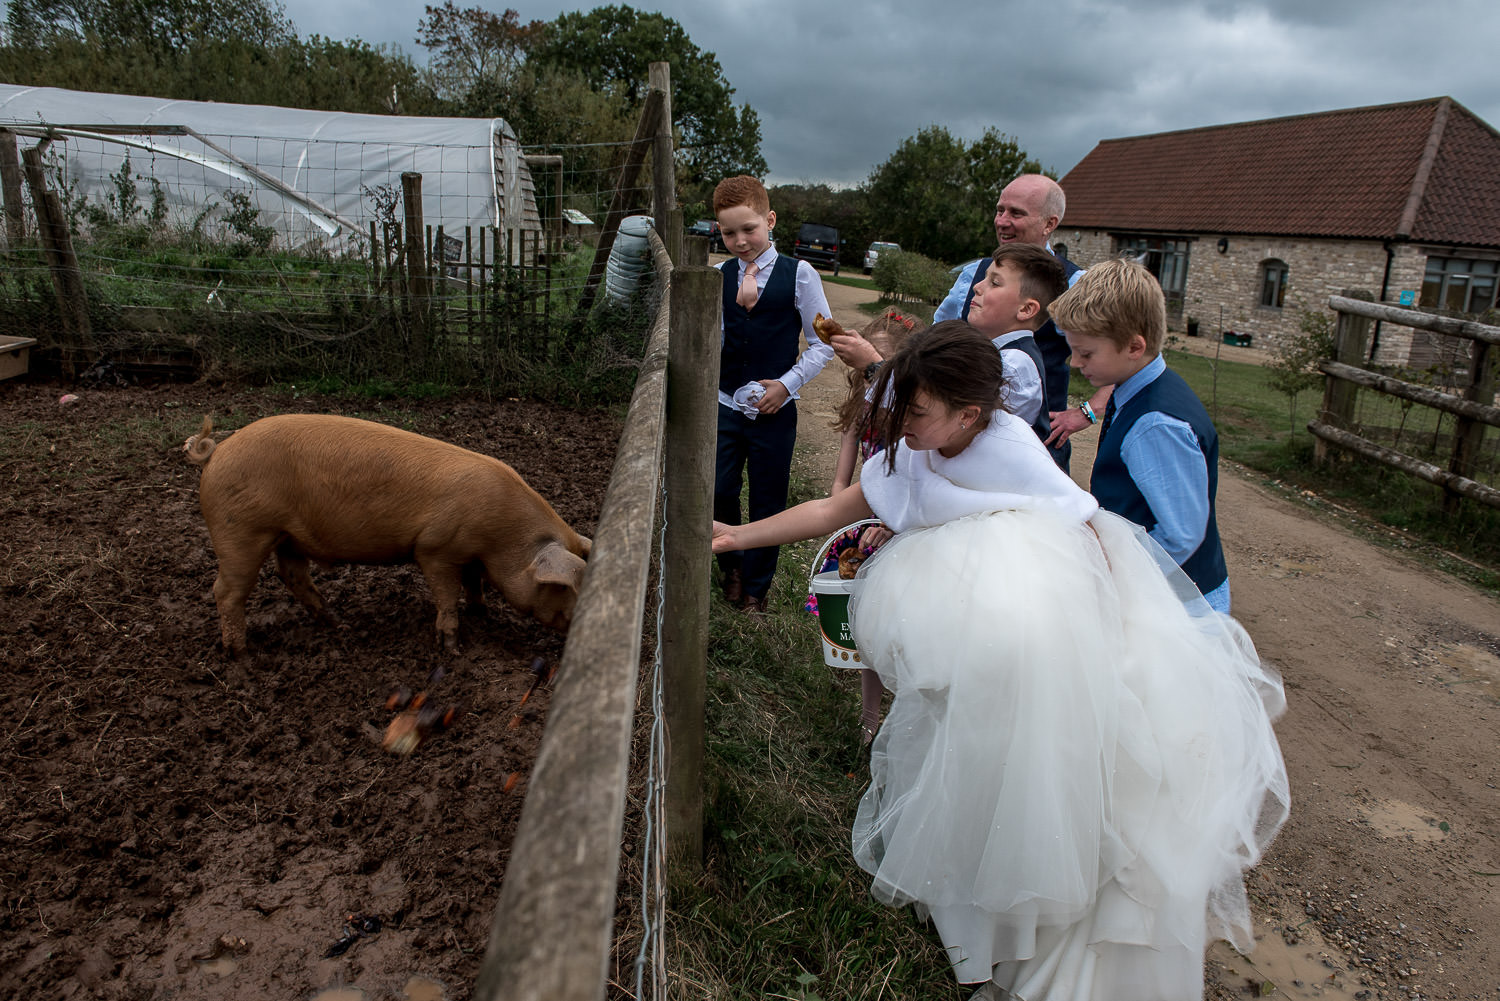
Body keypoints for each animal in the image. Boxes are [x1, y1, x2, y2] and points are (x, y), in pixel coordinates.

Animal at [183, 414, 591, 657]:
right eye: (564, 588)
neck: (502, 539)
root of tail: (216, 453)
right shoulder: (435, 550)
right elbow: (447, 595)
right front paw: (452, 648)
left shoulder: (471, 556)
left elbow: (474, 585)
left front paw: (482, 613)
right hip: (241, 531)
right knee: (227, 590)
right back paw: (239, 653)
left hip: (286, 537)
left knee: (293, 576)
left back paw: (338, 624)